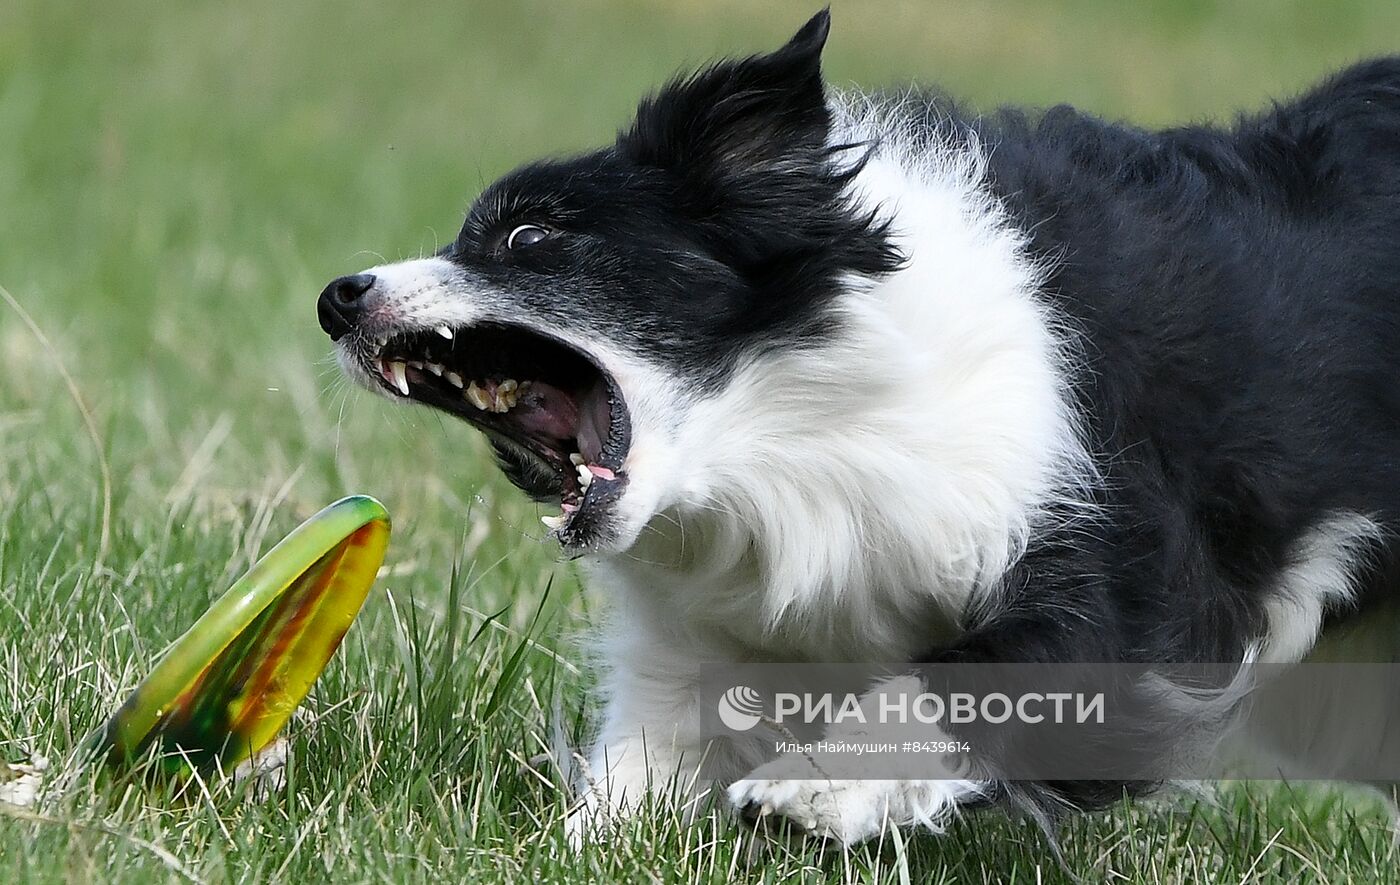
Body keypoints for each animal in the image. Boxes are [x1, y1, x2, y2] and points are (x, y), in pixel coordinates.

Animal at [317, 8, 1400, 845]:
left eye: (530, 234)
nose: (337, 297)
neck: (792, 438)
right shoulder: (714, 627)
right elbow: (653, 741)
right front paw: (590, 838)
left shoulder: (1125, 561)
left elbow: (976, 680)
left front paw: (811, 792)